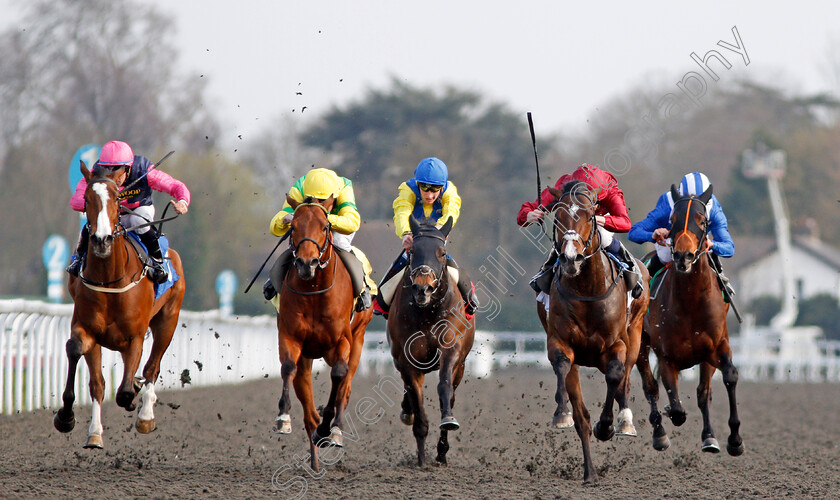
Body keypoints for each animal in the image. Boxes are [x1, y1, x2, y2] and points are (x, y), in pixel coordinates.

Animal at [54, 162, 185, 448]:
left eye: (117, 198)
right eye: (86, 199)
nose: (102, 240)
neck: (110, 281)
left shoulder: (135, 336)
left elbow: (124, 391)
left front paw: (135, 396)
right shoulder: (87, 330)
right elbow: (89, 372)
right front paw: (73, 421)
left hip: (167, 321)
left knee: (152, 367)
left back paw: (145, 415)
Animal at [274, 194, 372, 472]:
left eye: (325, 226)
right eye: (293, 227)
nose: (307, 263)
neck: (314, 290)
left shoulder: (342, 342)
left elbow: (338, 376)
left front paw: (329, 429)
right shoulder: (290, 336)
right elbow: (288, 367)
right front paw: (283, 417)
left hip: (358, 341)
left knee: (345, 386)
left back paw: (334, 429)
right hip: (308, 357)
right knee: (307, 405)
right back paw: (315, 456)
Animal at [388, 217, 472, 466]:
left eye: (441, 253)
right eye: (412, 250)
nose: (422, 288)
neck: (427, 311)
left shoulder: (451, 350)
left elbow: (444, 386)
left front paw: (447, 425)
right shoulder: (407, 360)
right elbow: (416, 400)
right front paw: (421, 458)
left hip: (461, 367)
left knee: (451, 393)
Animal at [540, 181, 652, 484]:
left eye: (590, 216)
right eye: (557, 217)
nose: (570, 258)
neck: (587, 289)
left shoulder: (616, 345)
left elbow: (615, 375)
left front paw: (608, 425)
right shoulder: (560, 341)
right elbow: (563, 368)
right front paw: (562, 414)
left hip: (635, 337)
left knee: (624, 377)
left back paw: (624, 421)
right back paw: (590, 472)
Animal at [632, 185, 744, 458]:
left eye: (703, 221)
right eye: (671, 221)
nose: (683, 256)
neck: (691, 302)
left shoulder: (717, 347)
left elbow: (728, 377)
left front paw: (734, 439)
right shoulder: (667, 356)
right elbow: (675, 408)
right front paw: (668, 414)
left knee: (703, 392)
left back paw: (709, 437)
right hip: (640, 344)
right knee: (650, 386)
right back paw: (659, 434)